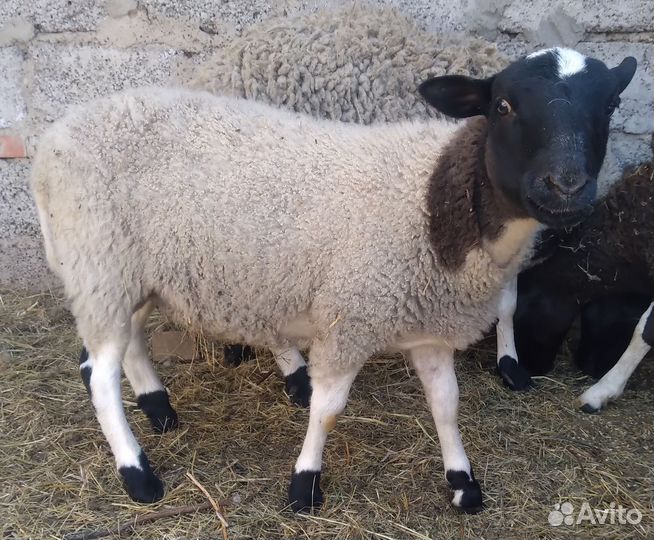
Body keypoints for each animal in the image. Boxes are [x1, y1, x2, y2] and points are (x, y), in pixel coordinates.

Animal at [31, 47, 636, 512]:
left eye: (610, 105)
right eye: (504, 105)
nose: (566, 187)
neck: (433, 202)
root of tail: (53, 138)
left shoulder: (429, 328)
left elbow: (446, 404)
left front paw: (463, 483)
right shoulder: (350, 318)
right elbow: (328, 409)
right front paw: (304, 485)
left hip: (124, 272)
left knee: (125, 344)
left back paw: (158, 408)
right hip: (99, 260)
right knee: (98, 375)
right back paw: (139, 474)